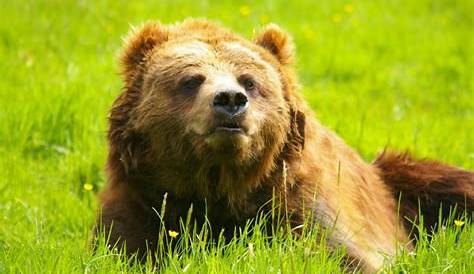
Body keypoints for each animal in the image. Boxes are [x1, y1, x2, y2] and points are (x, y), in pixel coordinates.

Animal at [97, 18, 474, 272]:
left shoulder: (297, 199)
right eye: (191, 79)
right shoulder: (144, 200)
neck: (222, 185)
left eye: (249, 81)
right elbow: (125, 247)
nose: (230, 100)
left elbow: (339, 254)